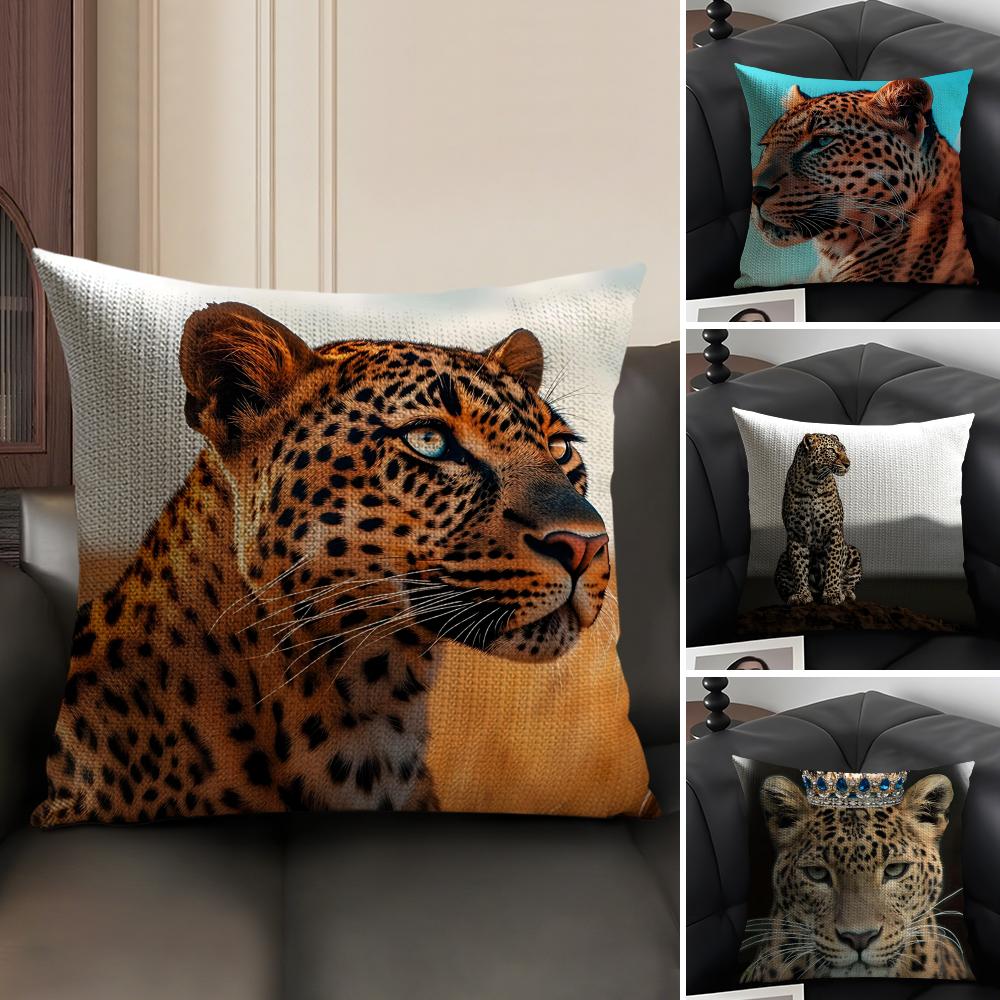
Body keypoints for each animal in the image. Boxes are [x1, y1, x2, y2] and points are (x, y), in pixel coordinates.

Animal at [775, 432, 861, 607]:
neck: (812, 482)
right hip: (782, 559)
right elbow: (799, 567)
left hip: (852, 551)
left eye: (844, 450)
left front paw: (833, 593)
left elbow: (833, 565)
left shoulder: (834, 531)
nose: (848, 464)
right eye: (832, 451)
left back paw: (846, 593)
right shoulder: (796, 533)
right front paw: (801, 594)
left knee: (848, 582)